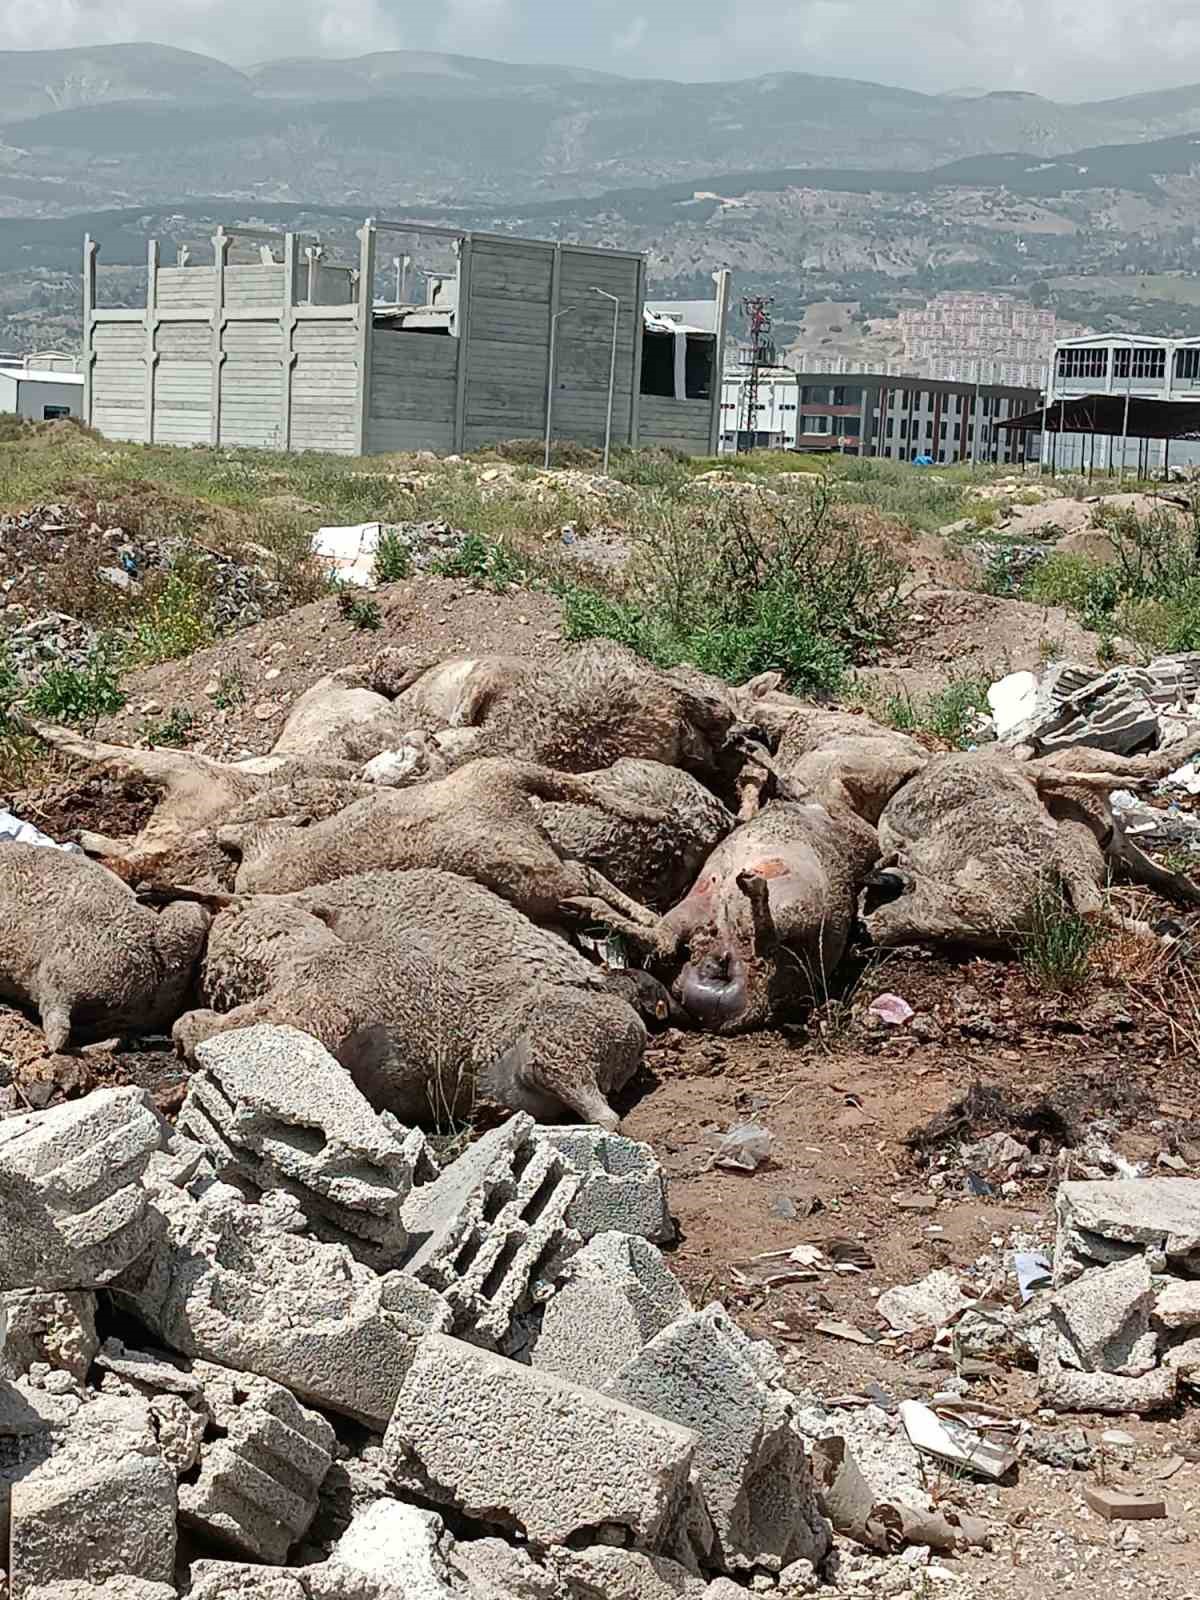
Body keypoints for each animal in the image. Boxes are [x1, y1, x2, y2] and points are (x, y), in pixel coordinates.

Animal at [172, 876, 643, 1126]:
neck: (313, 953)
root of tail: (635, 1034)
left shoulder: (314, 1009)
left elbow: (234, 1027)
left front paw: (186, 1031)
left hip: (559, 1047)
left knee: (605, 1118)